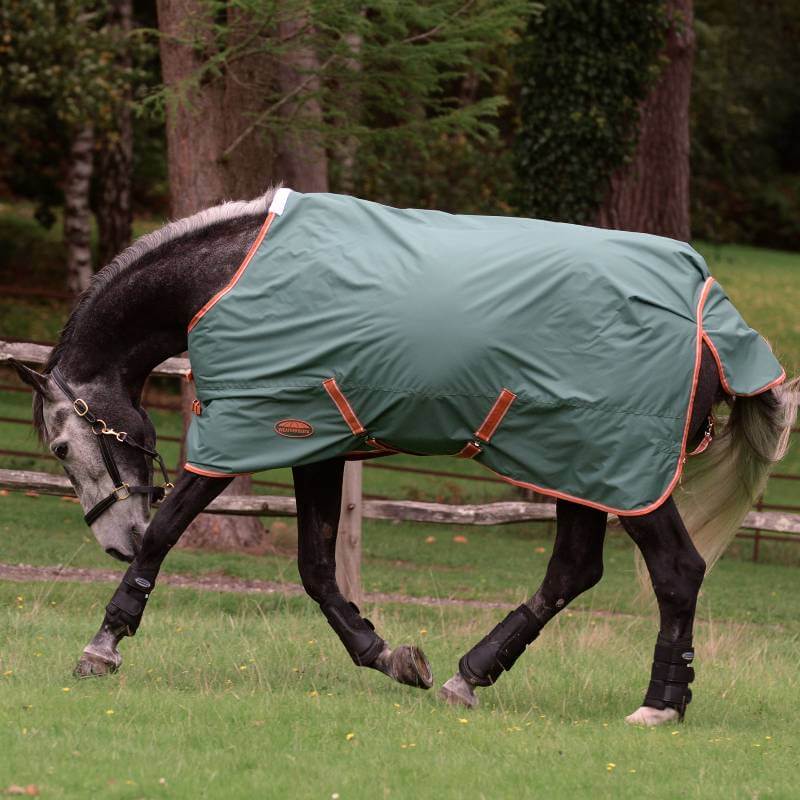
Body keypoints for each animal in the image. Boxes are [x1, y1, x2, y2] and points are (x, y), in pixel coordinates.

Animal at [12, 186, 798, 727]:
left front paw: (105, 643)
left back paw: (660, 704)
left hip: (623, 473)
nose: (115, 541)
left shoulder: (239, 433)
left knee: (676, 571)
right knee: (574, 571)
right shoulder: (317, 441)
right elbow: (317, 569)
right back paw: (468, 677)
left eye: (61, 445)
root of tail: (712, 319)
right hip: (579, 470)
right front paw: (388, 656)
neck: (228, 277)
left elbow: (171, 534)